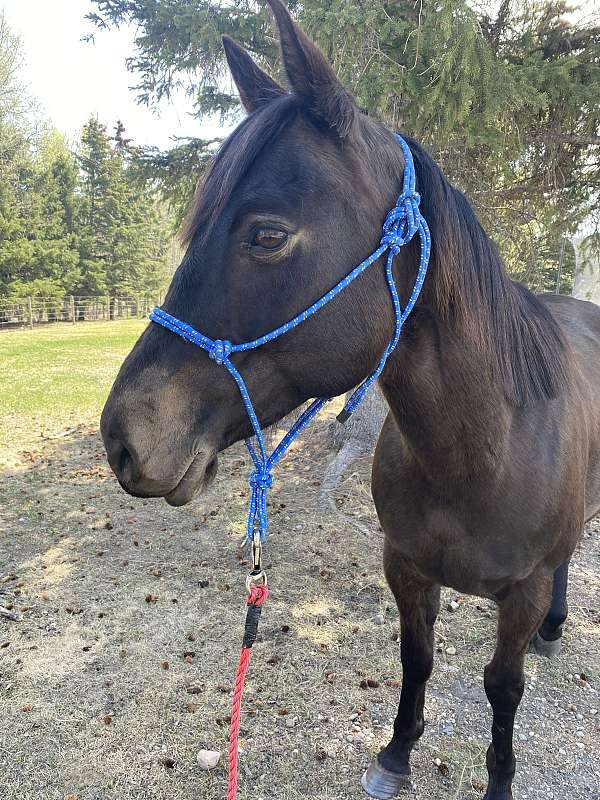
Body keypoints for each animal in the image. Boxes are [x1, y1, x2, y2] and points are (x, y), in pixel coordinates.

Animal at [101, 3, 600, 796]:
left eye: (265, 234)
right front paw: (396, 754)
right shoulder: (405, 568)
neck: (480, 453)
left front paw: (499, 776)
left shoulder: (517, 595)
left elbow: (503, 686)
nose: (123, 436)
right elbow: (416, 659)